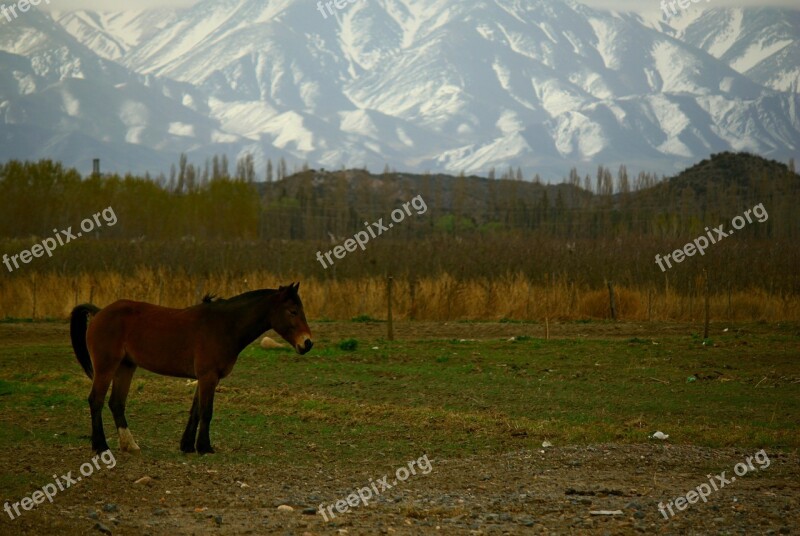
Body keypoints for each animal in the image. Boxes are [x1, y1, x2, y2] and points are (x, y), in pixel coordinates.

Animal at [69, 282, 312, 454]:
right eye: (292, 311)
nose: (307, 343)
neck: (224, 325)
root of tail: (99, 312)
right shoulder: (208, 377)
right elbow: (206, 411)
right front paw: (204, 447)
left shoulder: (204, 377)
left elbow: (195, 410)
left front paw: (187, 445)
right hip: (106, 367)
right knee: (96, 401)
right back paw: (100, 446)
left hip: (126, 367)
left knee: (116, 403)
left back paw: (130, 445)